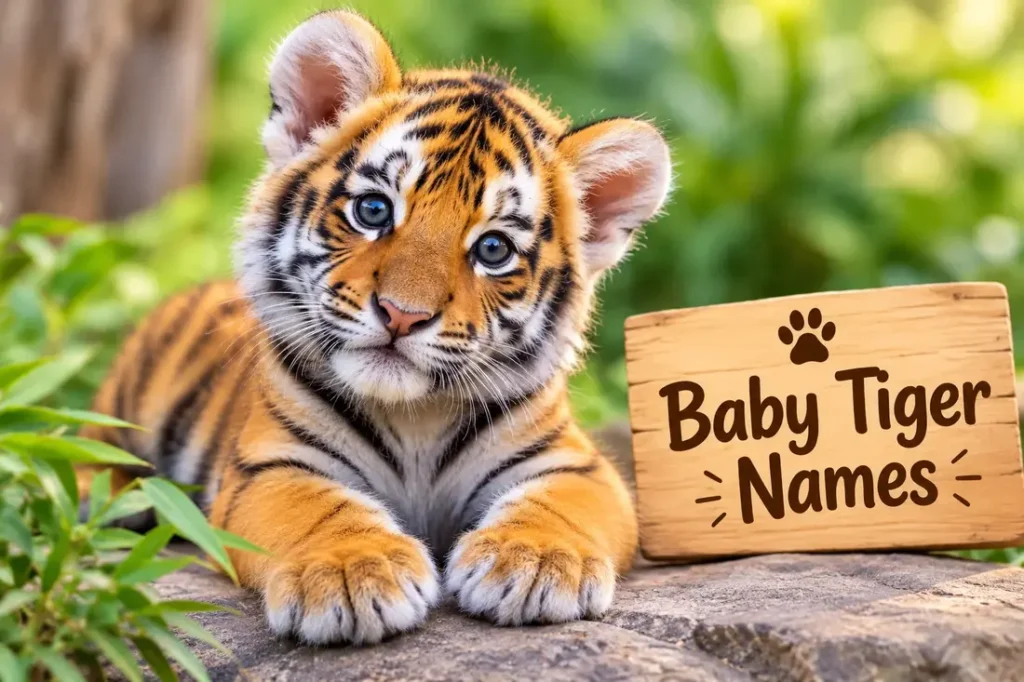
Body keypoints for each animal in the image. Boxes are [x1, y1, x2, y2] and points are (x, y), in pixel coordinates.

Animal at [77, 10, 671, 645]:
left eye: (493, 249)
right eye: (374, 210)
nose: (402, 314)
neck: (415, 419)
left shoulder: (577, 464)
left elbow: (556, 504)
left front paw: (533, 561)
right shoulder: (271, 465)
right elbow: (316, 508)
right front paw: (351, 573)